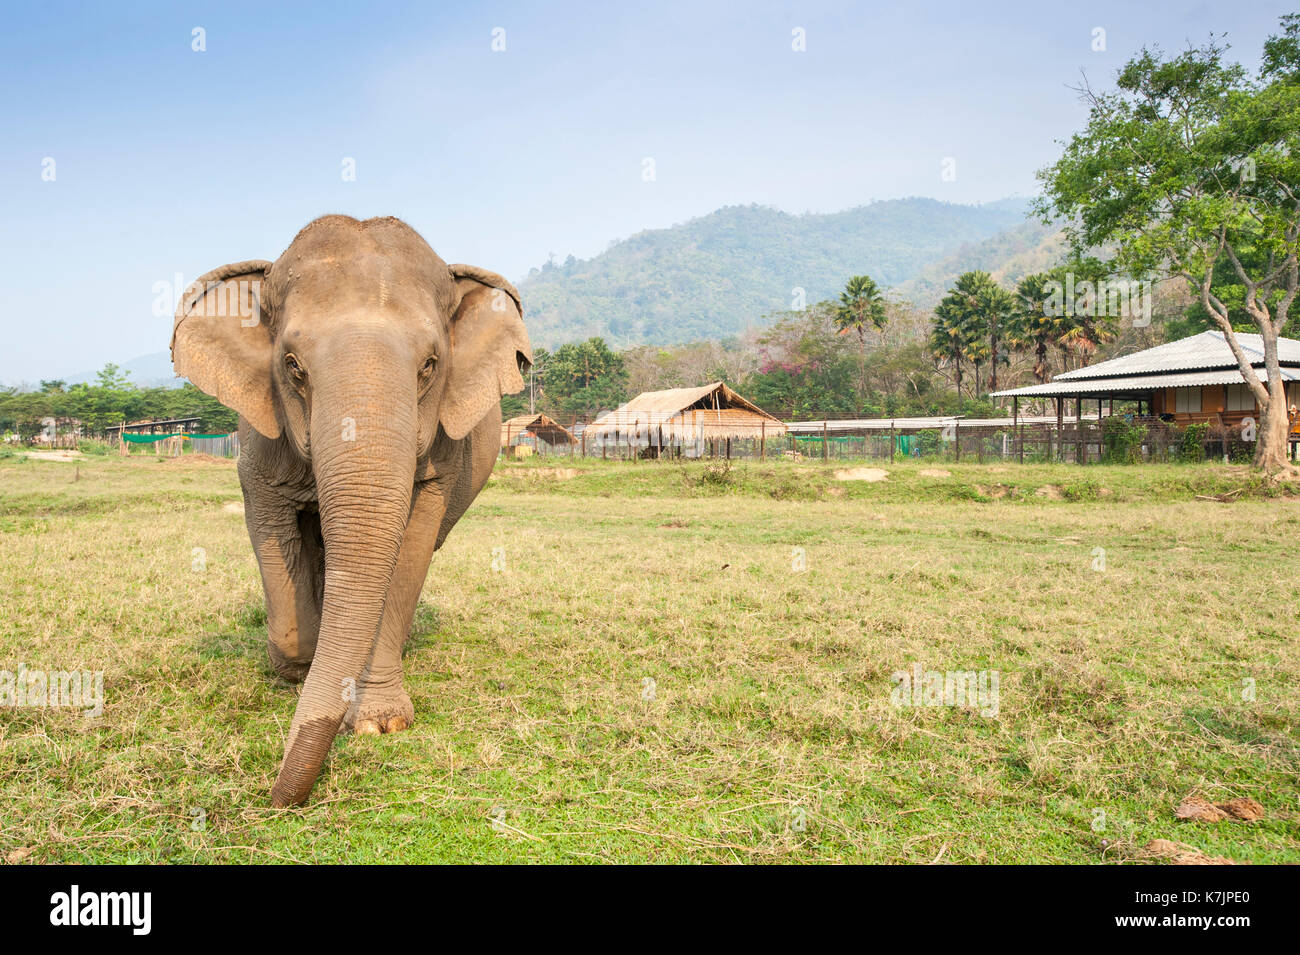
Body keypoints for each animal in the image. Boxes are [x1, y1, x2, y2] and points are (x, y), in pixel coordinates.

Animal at [171, 216, 527, 805]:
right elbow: (270, 522)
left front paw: (377, 722)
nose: (273, 798)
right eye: (292, 366)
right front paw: (296, 668)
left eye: (430, 366)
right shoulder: (259, 436)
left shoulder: (441, 456)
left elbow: (409, 547)